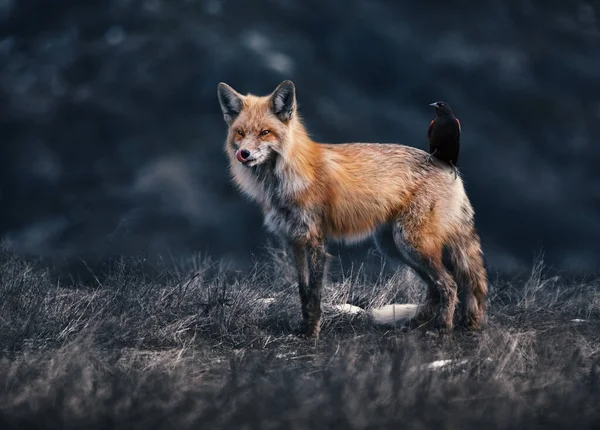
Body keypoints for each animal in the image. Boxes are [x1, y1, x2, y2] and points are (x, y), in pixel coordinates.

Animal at [217, 79, 488, 338]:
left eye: (265, 132)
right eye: (240, 132)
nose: (244, 153)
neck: (285, 181)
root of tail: (447, 165)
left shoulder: (315, 240)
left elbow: (314, 295)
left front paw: (312, 334)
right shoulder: (294, 240)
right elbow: (303, 292)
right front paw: (302, 329)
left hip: (412, 243)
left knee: (449, 285)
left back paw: (442, 329)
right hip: (395, 247)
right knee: (435, 287)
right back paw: (415, 325)